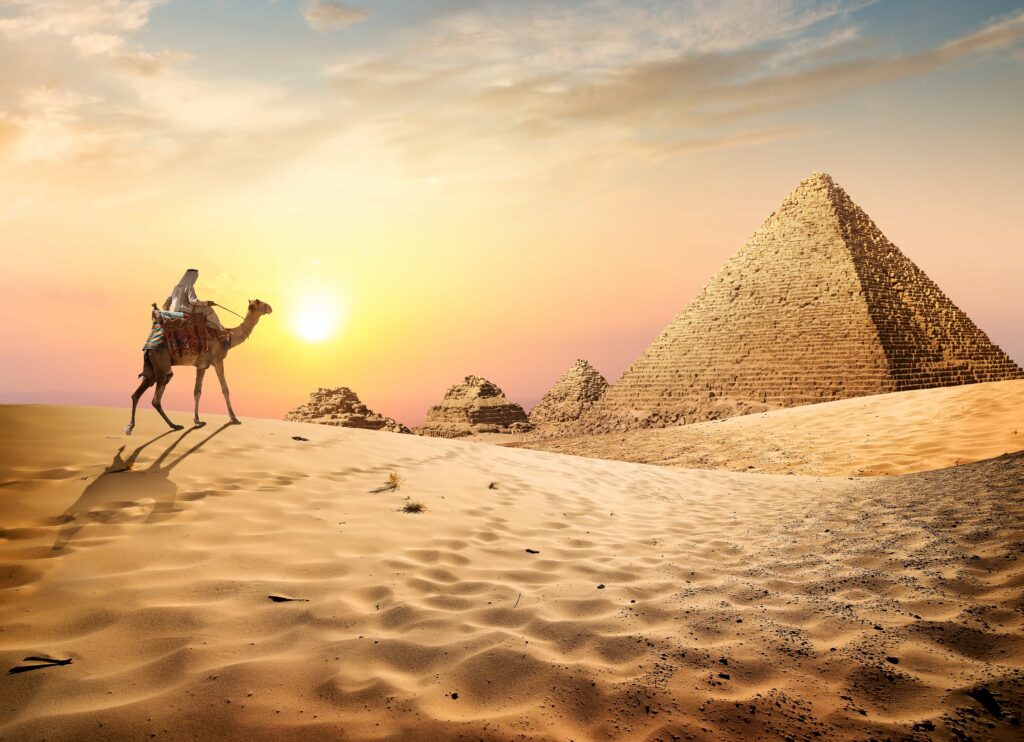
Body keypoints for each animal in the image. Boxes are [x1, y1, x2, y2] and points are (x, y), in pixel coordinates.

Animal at [125, 299, 273, 436]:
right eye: (261, 302)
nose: (270, 308)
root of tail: (148, 346)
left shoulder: (201, 365)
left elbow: (197, 391)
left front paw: (197, 420)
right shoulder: (216, 360)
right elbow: (224, 389)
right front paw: (233, 418)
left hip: (151, 368)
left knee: (136, 394)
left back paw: (131, 426)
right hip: (161, 364)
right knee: (156, 398)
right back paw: (174, 425)